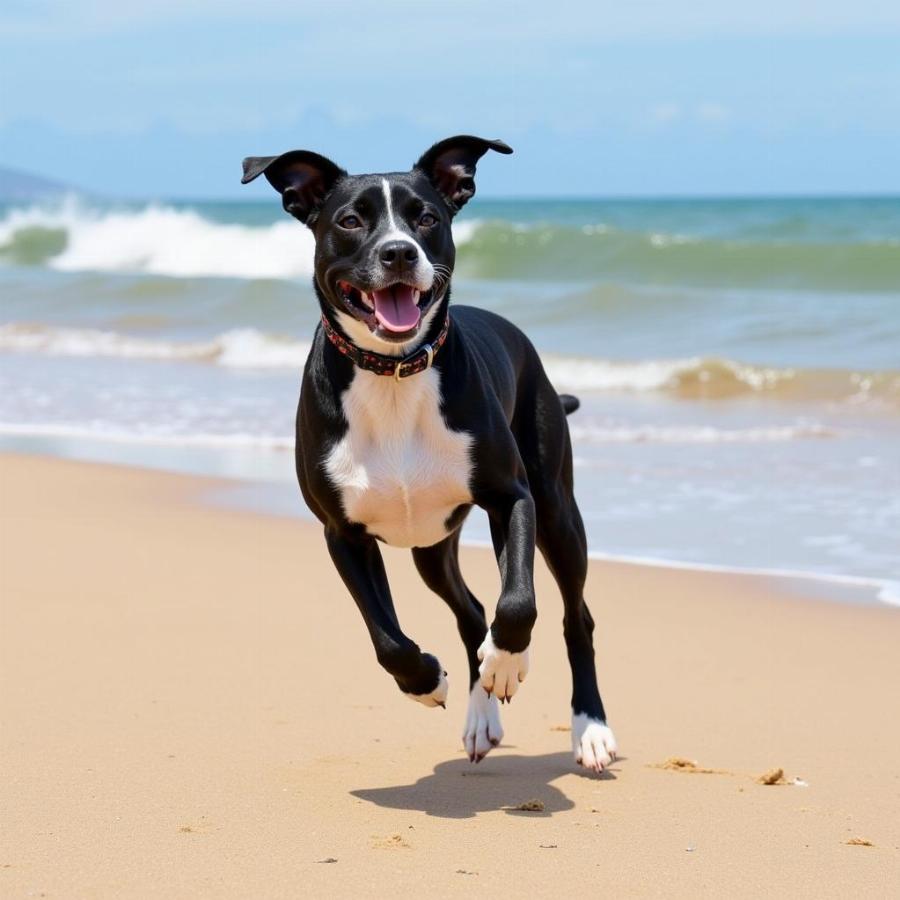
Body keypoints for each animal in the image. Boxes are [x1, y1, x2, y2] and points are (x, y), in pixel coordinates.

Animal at [241, 137, 620, 768]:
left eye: (426, 218)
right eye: (350, 221)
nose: (398, 252)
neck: (393, 373)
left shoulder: (512, 498)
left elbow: (518, 602)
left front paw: (508, 662)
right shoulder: (342, 533)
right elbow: (387, 637)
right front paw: (426, 681)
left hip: (556, 510)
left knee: (575, 616)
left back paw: (587, 728)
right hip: (431, 551)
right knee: (469, 612)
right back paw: (480, 718)